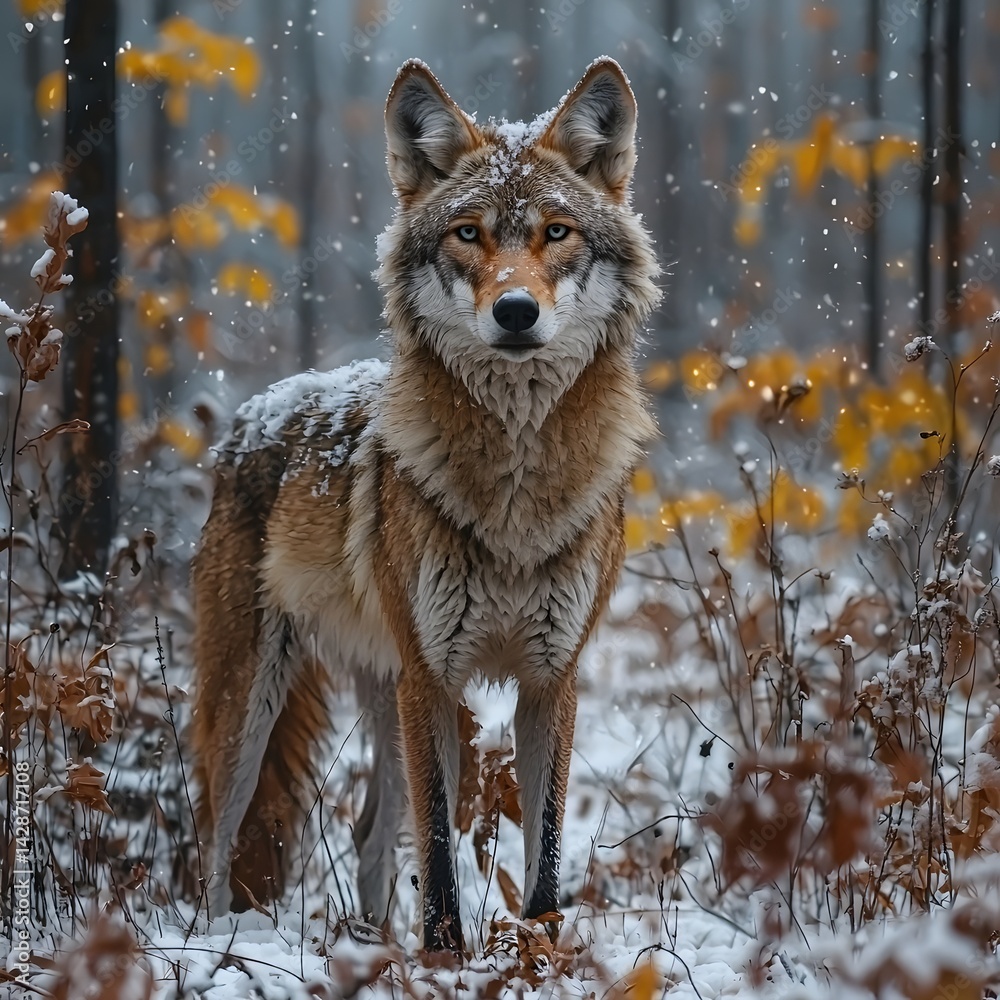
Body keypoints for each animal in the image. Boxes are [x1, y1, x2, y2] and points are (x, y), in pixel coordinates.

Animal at [191, 56, 660, 951]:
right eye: (468, 234)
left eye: (556, 233)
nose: (516, 311)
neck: (515, 487)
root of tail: (247, 417)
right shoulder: (432, 678)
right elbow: (440, 844)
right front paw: (445, 956)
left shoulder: (553, 679)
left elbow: (546, 843)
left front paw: (541, 951)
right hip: (254, 702)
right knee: (214, 836)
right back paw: (201, 942)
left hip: (378, 691)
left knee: (369, 828)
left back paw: (371, 943)